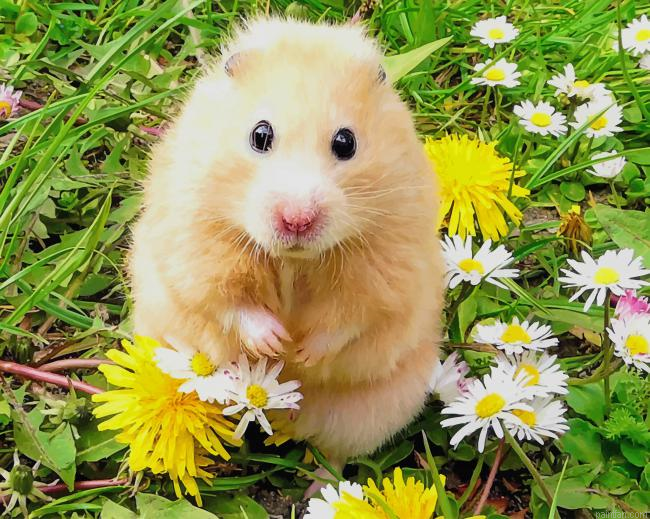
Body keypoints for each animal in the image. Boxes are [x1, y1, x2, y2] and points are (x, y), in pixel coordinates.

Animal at [129, 18, 444, 471]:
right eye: (260, 135)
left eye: (346, 142)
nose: (297, 220)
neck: (294, 260)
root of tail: (284, 416)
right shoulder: (195, 244)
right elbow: (227, 301)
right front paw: (275, 344)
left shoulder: (386, 267)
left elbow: (351, 317)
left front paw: (302, 355)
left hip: (372, 411)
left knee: (335, 456)